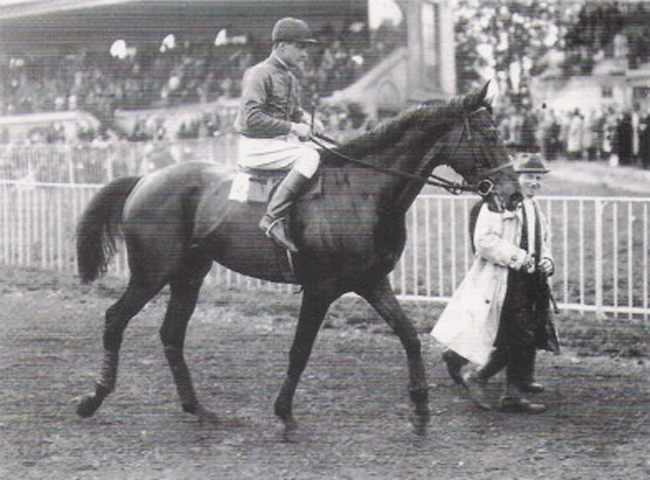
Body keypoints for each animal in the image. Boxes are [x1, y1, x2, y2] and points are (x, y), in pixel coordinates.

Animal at [73, 84, 520, 426]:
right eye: (488, 134)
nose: (513, 194)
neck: (363, 190)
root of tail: (145, 179)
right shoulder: (320, 289)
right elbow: (300, 349)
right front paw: (284, 410)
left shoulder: (372, 281)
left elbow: (409, 335)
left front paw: (421, 402)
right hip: (153, 272)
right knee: (115, 319)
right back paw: (93, 398)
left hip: (189, 275)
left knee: (171, 335)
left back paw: (196, 408)